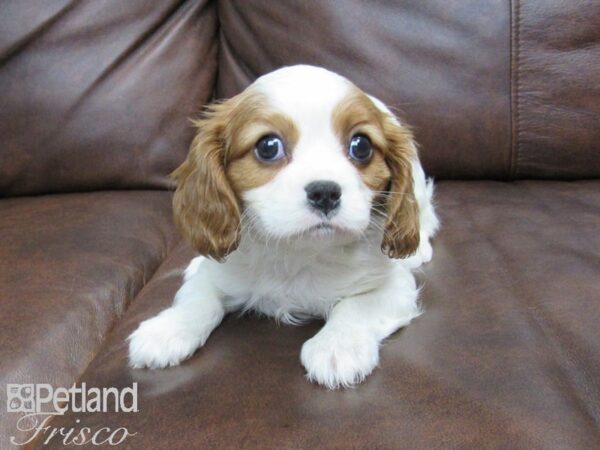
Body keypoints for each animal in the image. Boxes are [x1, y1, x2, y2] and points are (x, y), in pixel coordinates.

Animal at [129, 65, 438, 388]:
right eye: (268, 147)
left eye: (361, 146)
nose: (325, 192)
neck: (297, 252)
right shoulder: (221, 274)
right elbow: (198, 296)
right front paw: (167, 330)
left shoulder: (395, 286)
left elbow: (356, 306)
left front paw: (337, 347)